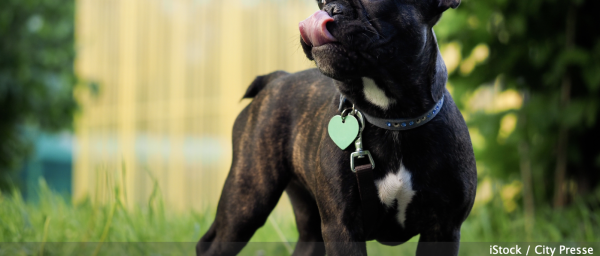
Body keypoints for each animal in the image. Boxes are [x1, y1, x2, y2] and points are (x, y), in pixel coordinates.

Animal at [199, 0, 476, 256]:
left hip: (306, 221)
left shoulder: (444, 228)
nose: (331, 7)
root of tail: (277, 78)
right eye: (320, 2)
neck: (393, 120)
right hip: (246, 200)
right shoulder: (341, 226)